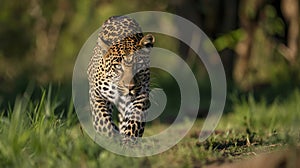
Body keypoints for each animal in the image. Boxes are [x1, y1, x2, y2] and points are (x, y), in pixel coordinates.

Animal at [86, 15, 155, 144]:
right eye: (118, 66)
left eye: (138, 65)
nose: (130, 87)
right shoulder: (97, 93)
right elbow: (103, 123)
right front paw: (112, 139)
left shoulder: (142, 94)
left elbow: (135, 119)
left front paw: (129, 141)